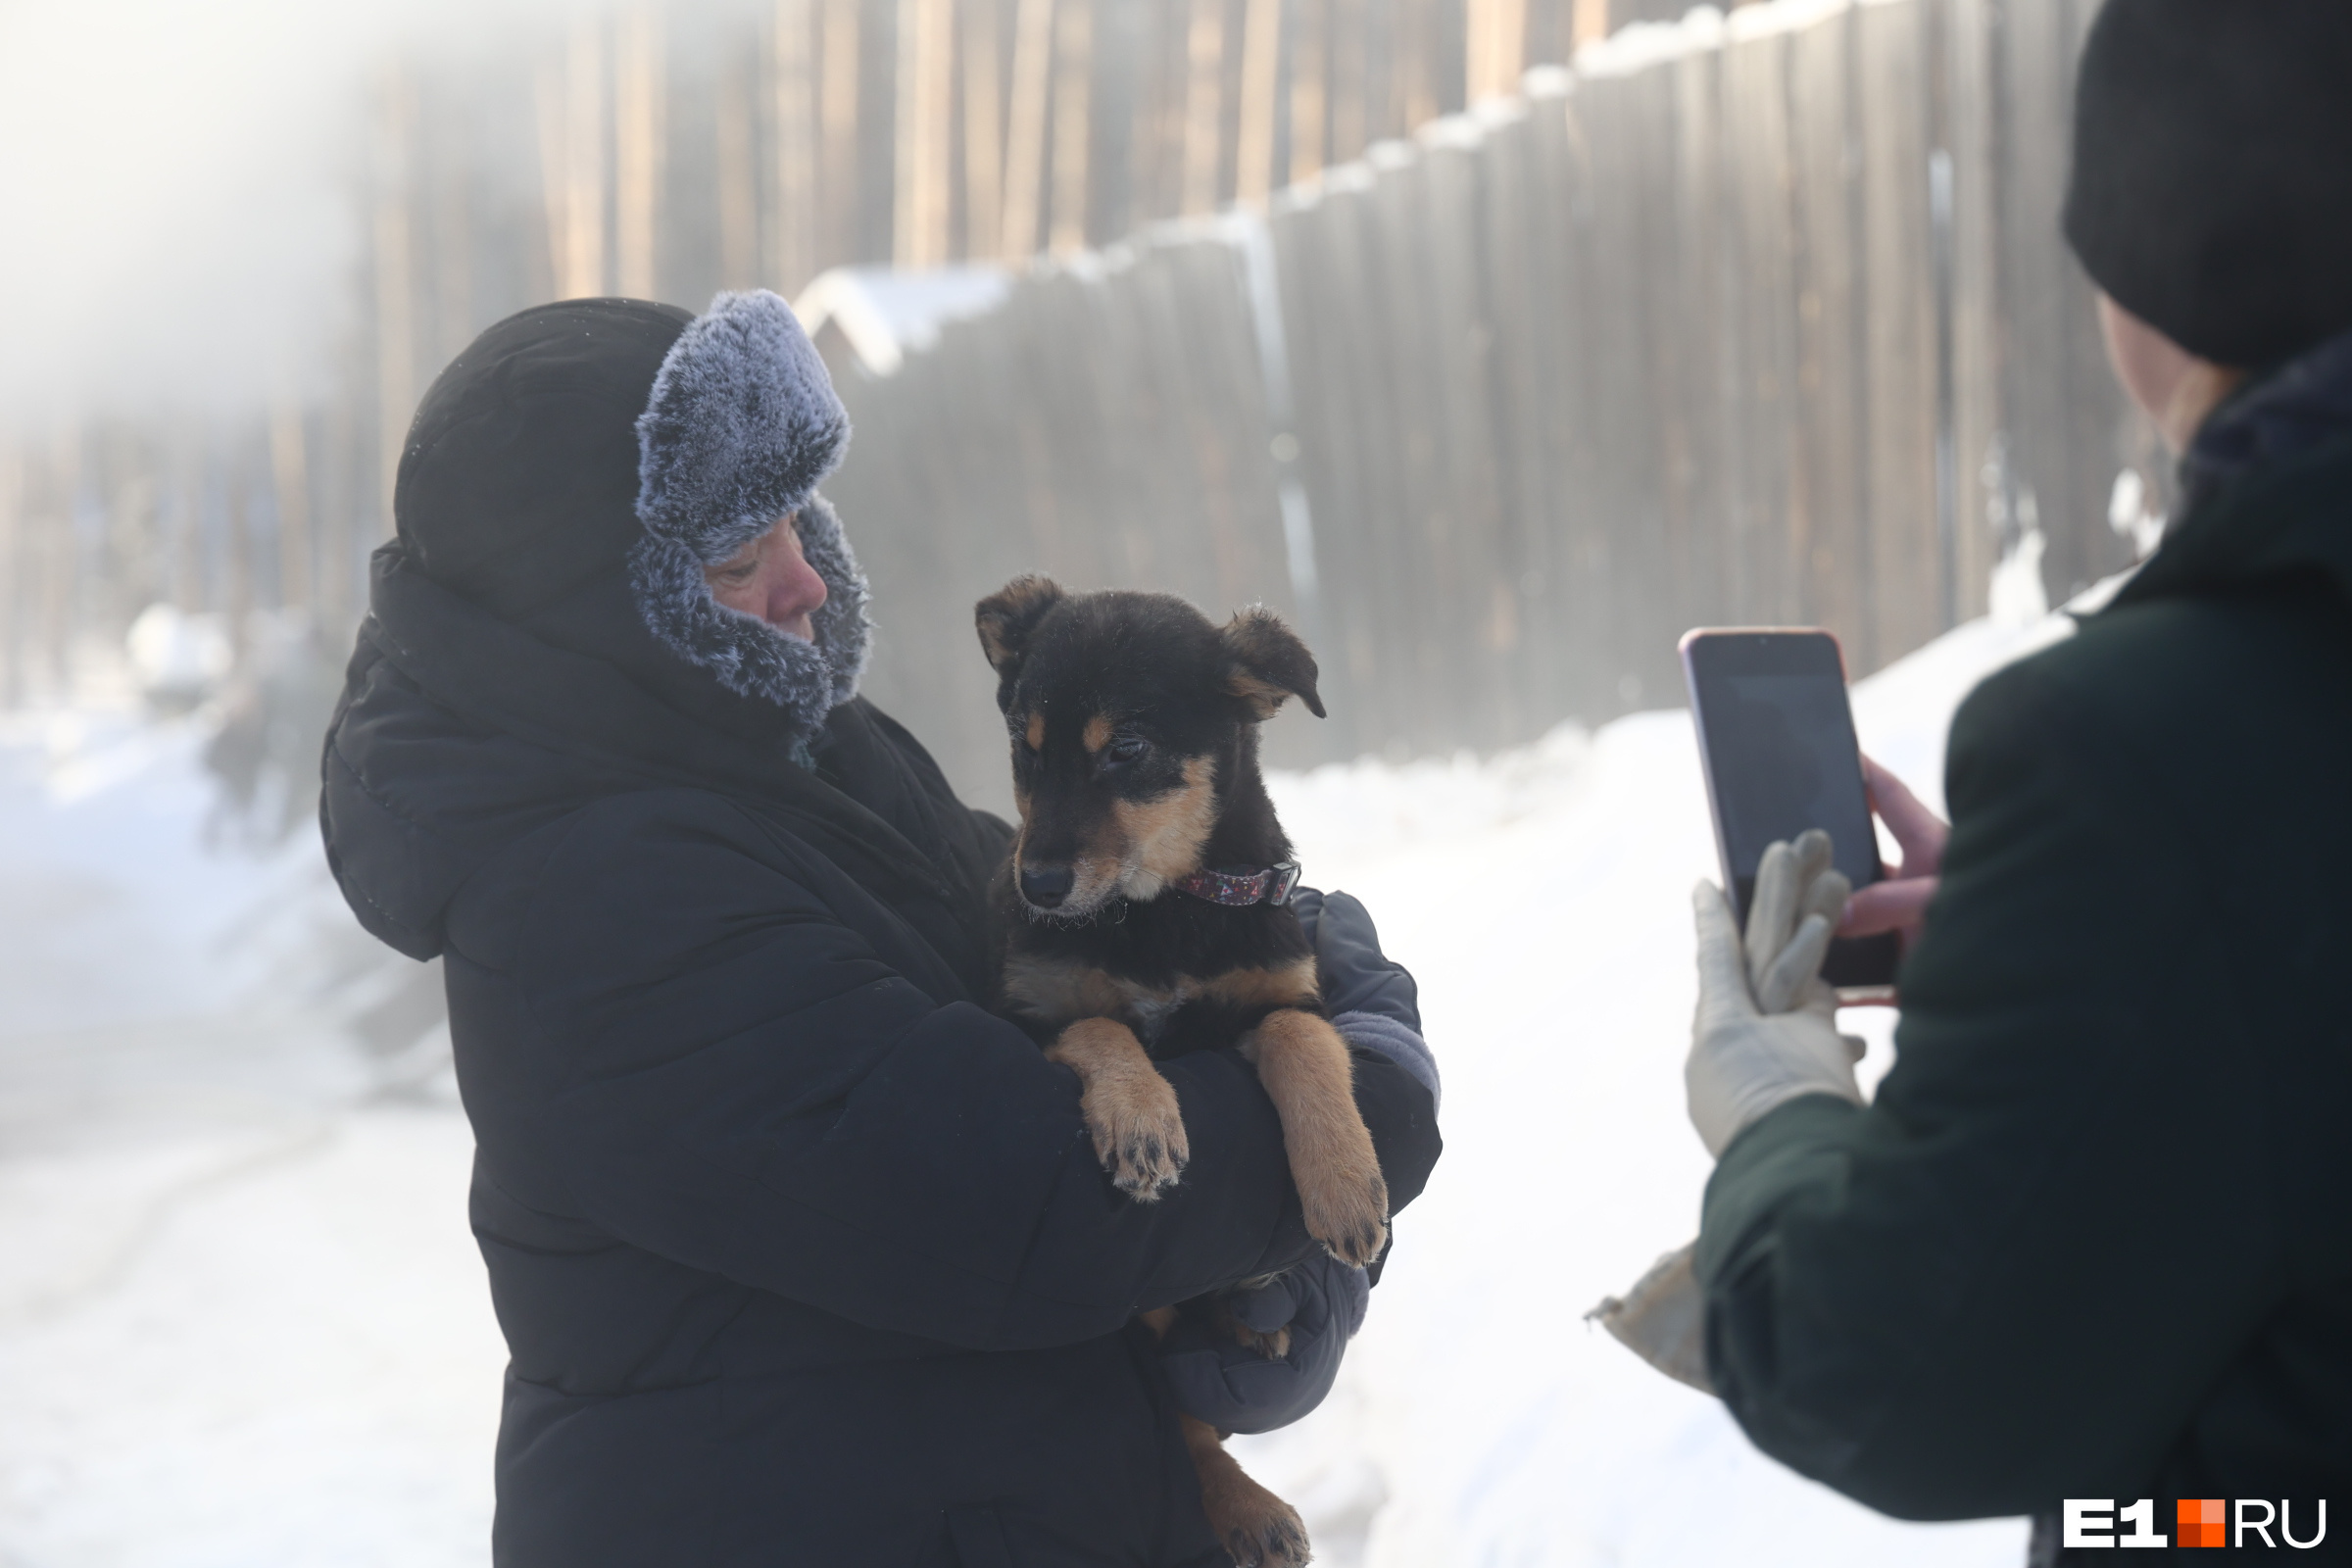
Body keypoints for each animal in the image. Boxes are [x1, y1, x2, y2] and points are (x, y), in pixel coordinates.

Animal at [978, 575, 1392, 1568]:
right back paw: (1248, 1508)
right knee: (1184, 1424)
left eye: (1126, 749)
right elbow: (1101, 1022)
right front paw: (1140, 1120)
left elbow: (1301, 1046)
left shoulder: (1287, 993)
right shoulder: (1030, 1016)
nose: (1036, 887)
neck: (1161, 907)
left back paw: (1254, 1321)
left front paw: (1346, 1188)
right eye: (1024, 746)